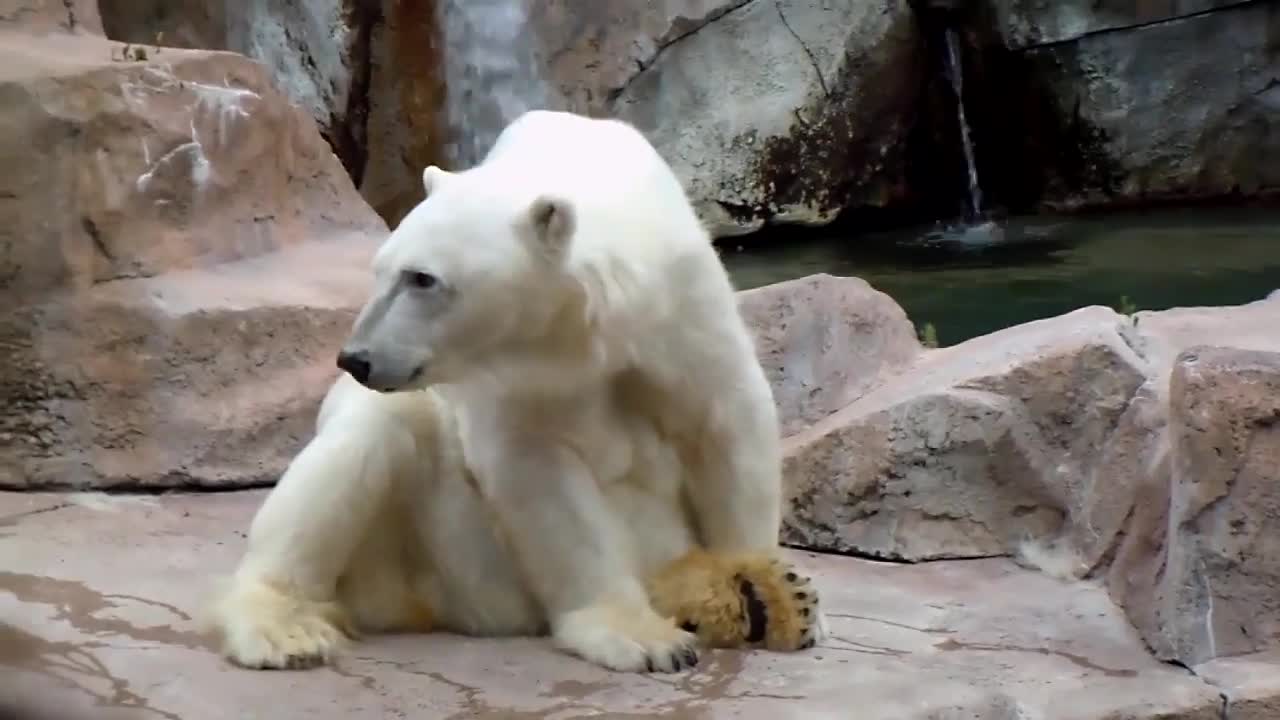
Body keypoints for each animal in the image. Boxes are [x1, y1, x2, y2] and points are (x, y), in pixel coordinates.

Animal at [207, 109, 829, 671]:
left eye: (422, 278)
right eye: (380, 269)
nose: (355, 358)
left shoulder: (680, 311)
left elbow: (726, 424)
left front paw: (764, 587)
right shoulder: (514, 381)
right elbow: (538, 475)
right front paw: (644, 638)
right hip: (448, 549)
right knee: (370, 439)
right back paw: (283, 629)